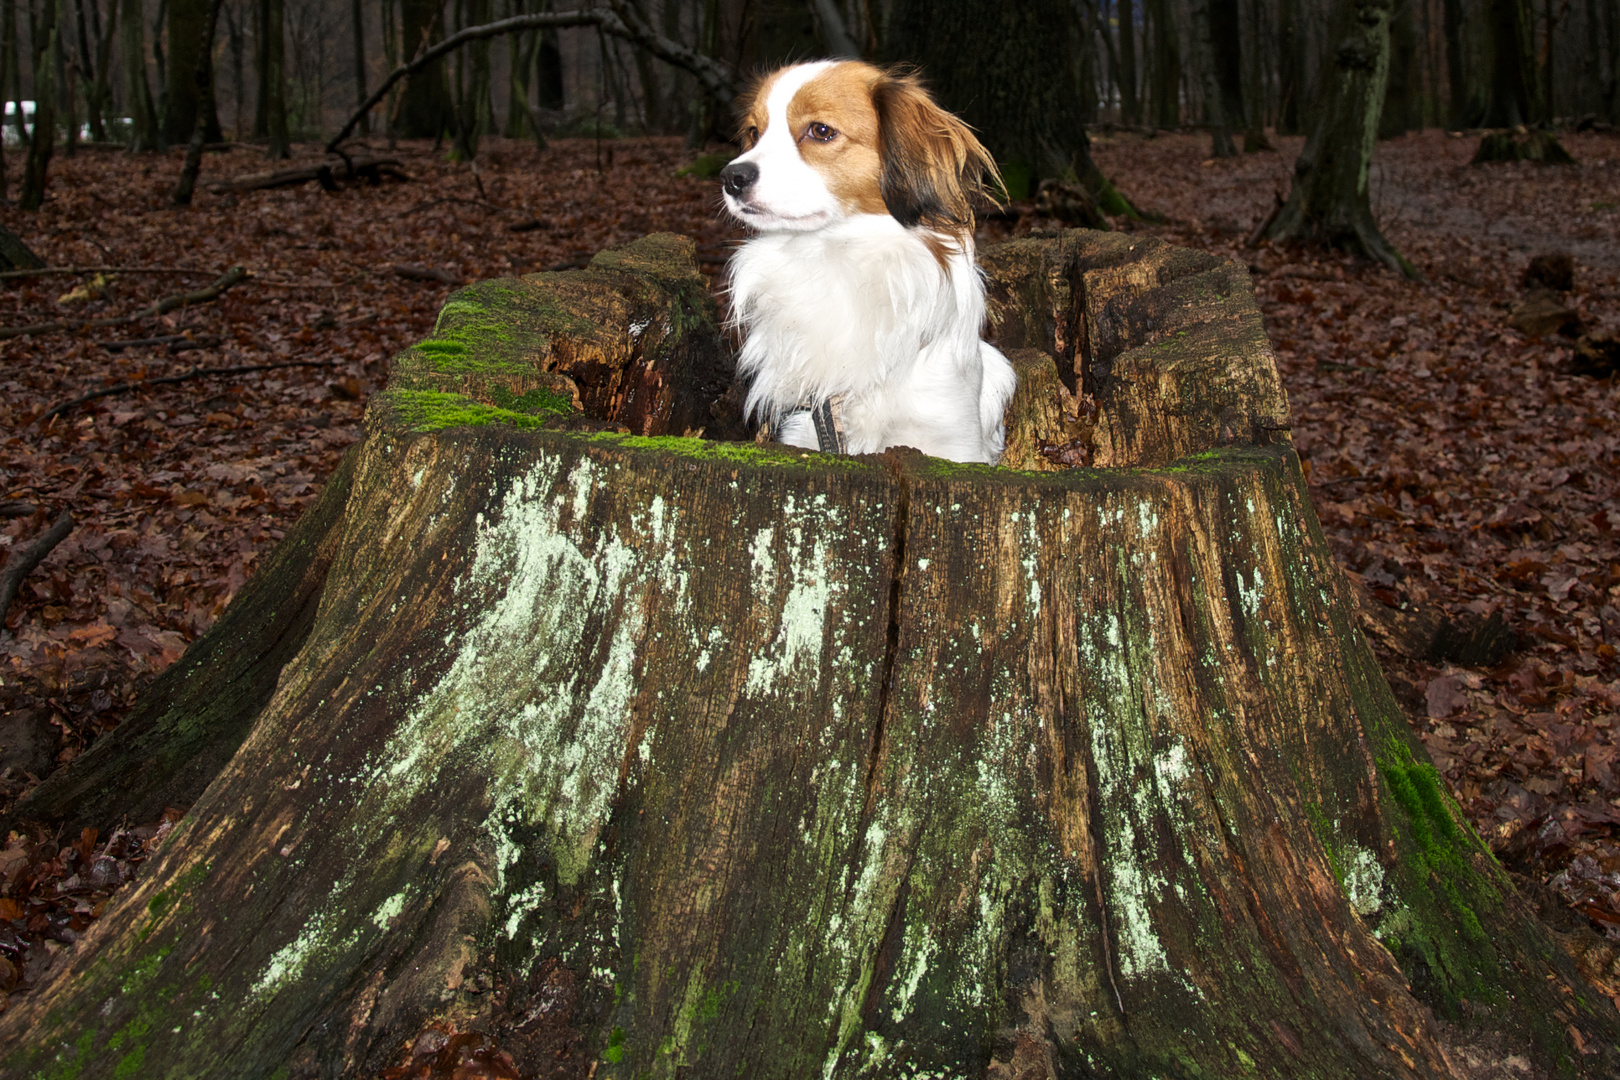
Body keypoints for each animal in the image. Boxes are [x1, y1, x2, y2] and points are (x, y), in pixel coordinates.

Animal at [722, 61, 1010, 463]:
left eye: (821, 131)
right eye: (754, 133)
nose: (732, 177)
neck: (837, 255)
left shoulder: (952, 441)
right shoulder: (807, 425)